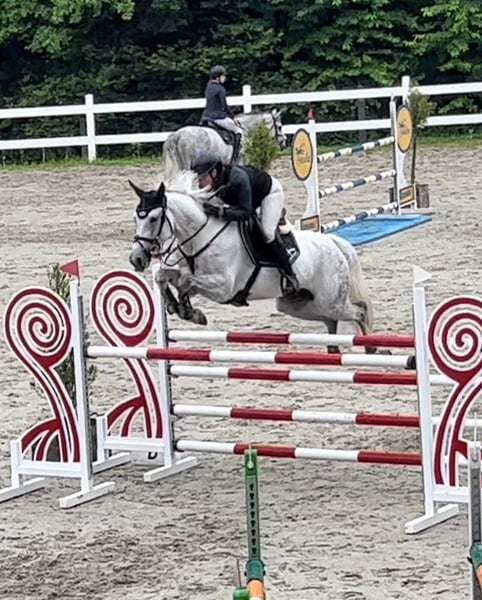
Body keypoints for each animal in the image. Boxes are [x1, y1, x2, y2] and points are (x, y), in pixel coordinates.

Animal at [127, 171, 379, 354]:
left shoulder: (223, 288)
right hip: (300, 305)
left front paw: (189, 310)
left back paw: (370, 346)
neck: (200, 235)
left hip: (330, 300)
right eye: (135, 217)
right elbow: (163, 276)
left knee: (358, 312)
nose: (136, 259)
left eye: (153, 218)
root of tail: (334, 243)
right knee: (331, 319)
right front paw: (179, 307)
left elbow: (186, 281)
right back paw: (334, 347)